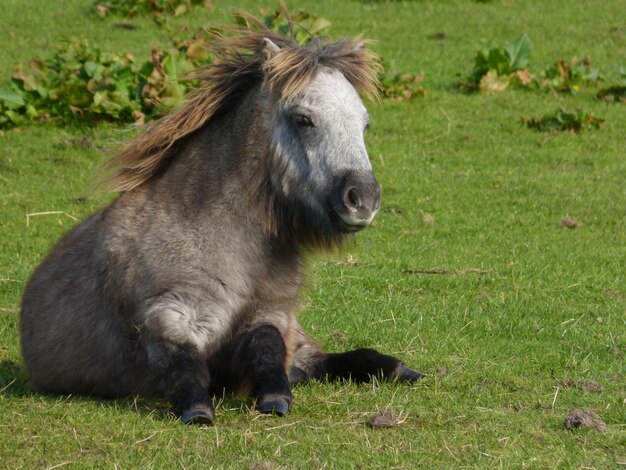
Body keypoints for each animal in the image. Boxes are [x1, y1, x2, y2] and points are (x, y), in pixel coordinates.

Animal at [19, 17, 422, 426]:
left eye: (364, 124)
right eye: (303, 119)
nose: (364, 200)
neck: (216, 238)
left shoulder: (272, 313)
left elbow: (268, 350)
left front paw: (274, 397)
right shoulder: (167, 314)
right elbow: (185, 363)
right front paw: (198, 409)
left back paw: (399, 369)